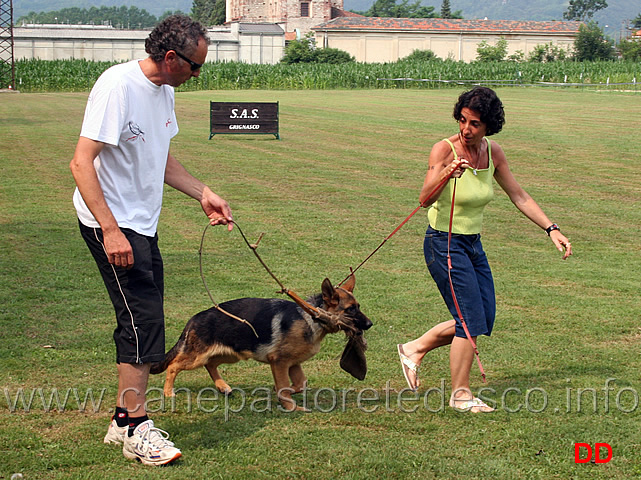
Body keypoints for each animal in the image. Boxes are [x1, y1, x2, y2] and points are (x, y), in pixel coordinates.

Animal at [149, 276, 370, 410]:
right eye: (350, 309)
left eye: (358, 306)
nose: (370, 324)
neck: (312, 317)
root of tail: (195, 318)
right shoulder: (279, 362)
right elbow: (284, 386)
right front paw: (290, 406)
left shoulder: (293, 364)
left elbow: (300, 384)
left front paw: (284, 392)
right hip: (197, 356)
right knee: (173, 365)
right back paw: (168, 392)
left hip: (229, 354)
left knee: (210, 364)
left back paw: (222, 386)